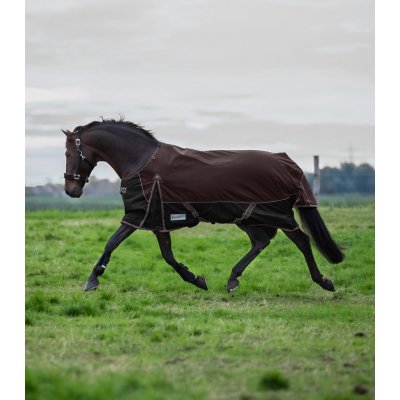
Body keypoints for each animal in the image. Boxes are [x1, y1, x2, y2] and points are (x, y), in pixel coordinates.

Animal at [63, 117, 344, 292]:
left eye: (67, 153)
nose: (70, 190)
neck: (141, 162)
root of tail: (288, 163)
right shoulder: (157, 221)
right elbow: (168, 256)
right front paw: (197, 279)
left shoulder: (136, 216)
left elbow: (111, 243)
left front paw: (91, 281)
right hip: (248, 217)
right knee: (261, 242)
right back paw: (232, 280)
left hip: (276, 215)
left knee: (302, 241)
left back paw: (324, 281)